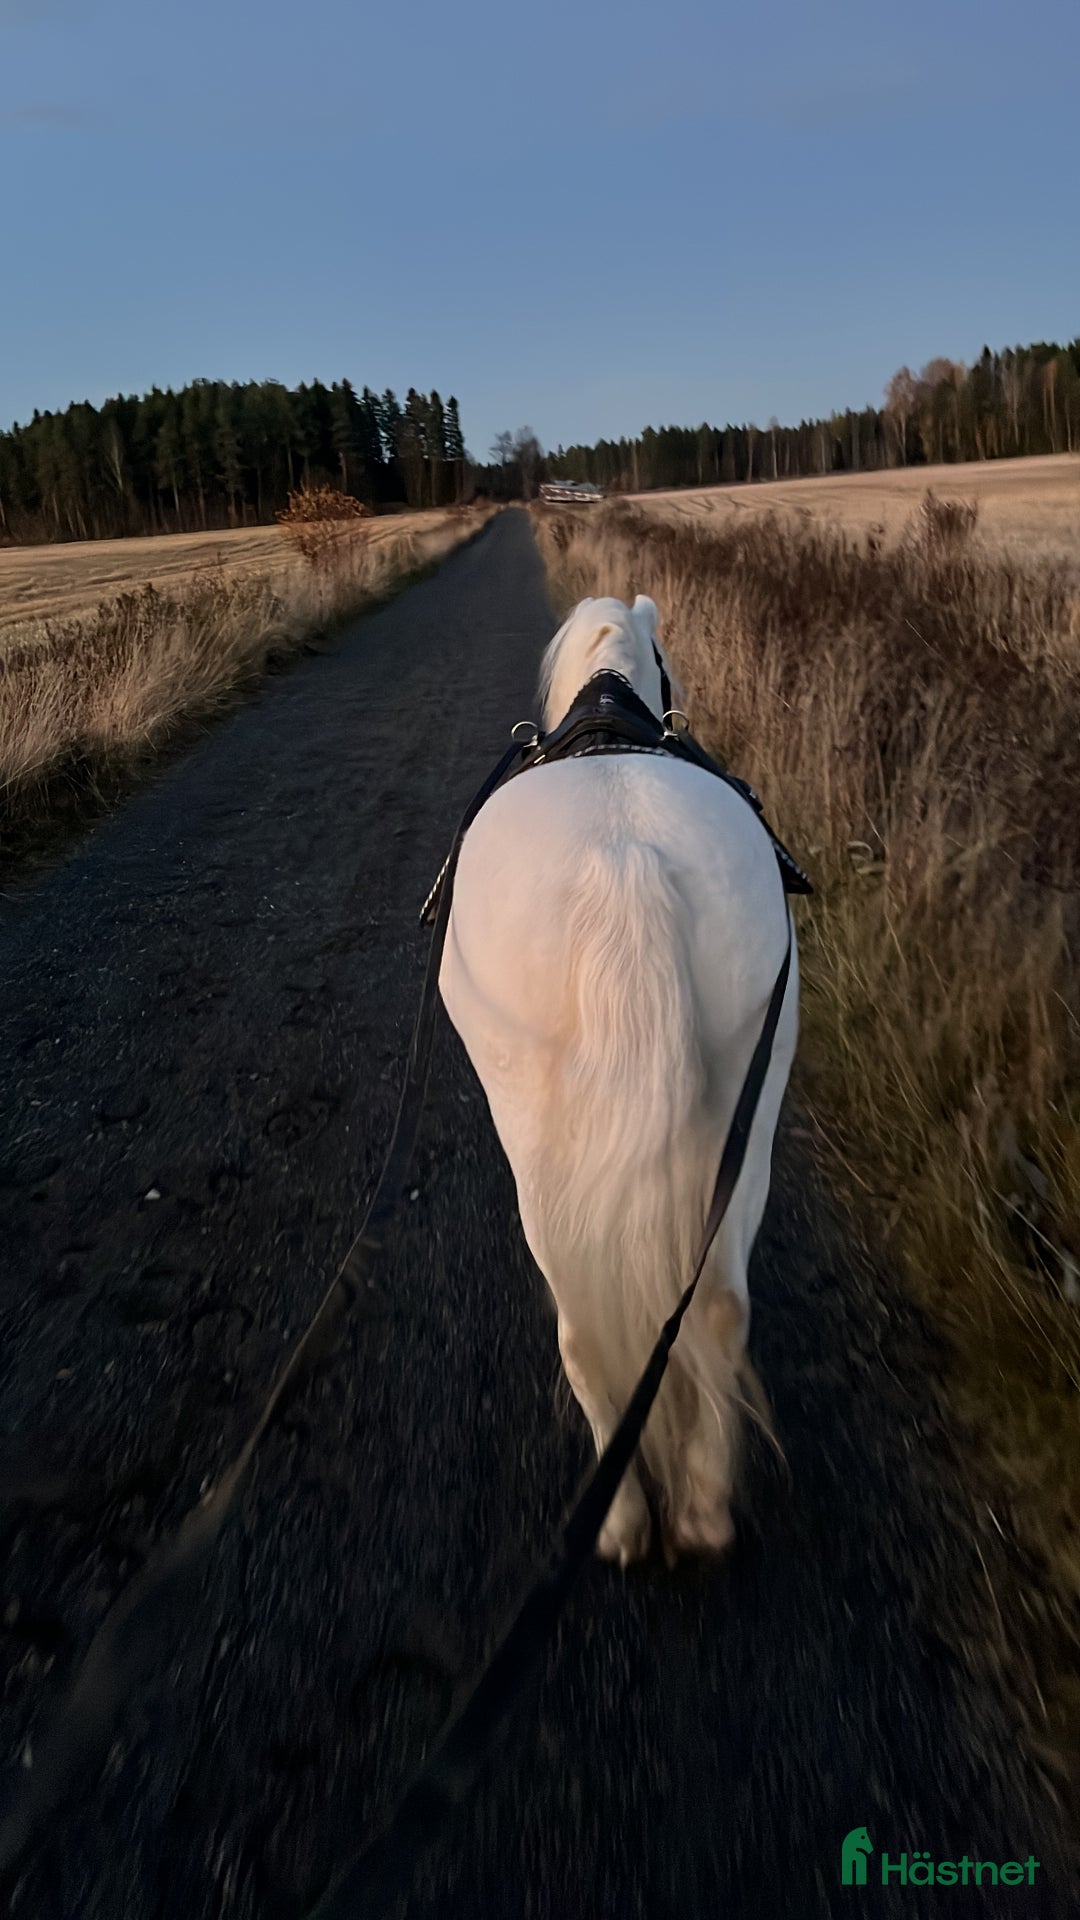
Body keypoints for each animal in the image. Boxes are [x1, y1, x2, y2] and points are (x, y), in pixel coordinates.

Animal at [439, 593, 798, 1565]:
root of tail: (623, 859)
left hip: (536, 1143)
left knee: (583, 1332)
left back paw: (623, 1521)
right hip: (750, 1099)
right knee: (720, 1307)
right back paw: (704, 1512)